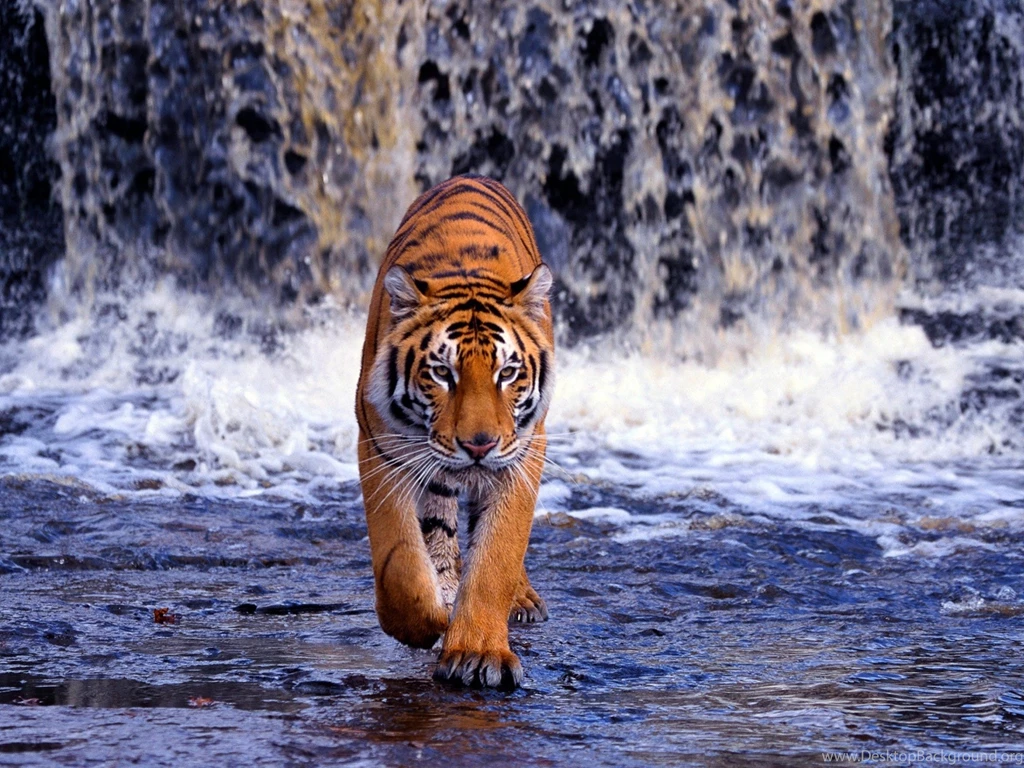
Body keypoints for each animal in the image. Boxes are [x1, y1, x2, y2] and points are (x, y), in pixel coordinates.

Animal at [354, 174, 555, 690]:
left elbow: (497, 556)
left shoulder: (522, 454)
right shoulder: (382, 447)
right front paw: (424, 622)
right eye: (442, 373)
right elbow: (400, 559)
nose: (478, 445)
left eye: (508, 373)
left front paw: (477, 652)